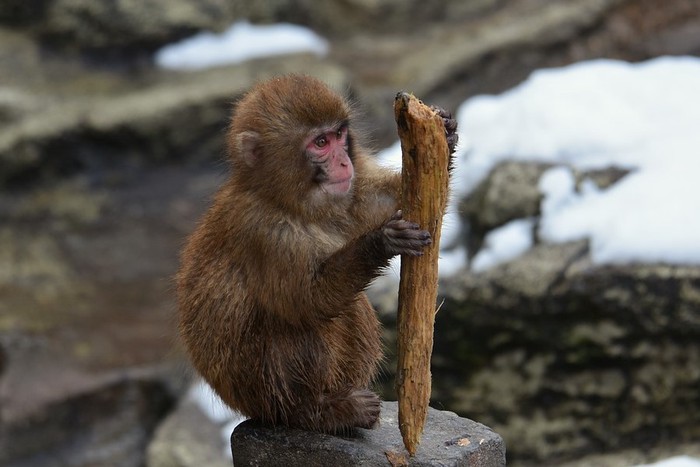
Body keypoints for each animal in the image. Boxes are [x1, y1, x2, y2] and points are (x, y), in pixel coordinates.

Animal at [178, 74, 456, 436]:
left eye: (339, 135)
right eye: (320, 143)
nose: (343, 161)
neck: (287, 202)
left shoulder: (347, 193)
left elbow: (386, 198)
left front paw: (447, 134)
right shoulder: (265, 233)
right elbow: (308, 301)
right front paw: (380, 241)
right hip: (263, 393)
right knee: (305, 323)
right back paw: (320, 413)